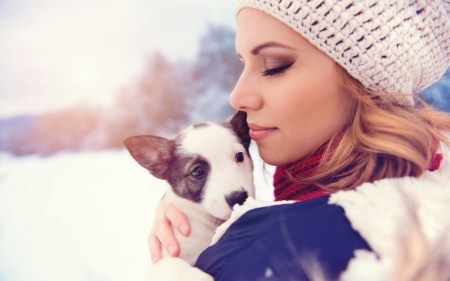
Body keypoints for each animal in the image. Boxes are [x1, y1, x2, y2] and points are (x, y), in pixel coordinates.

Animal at [125, 110, 255, 278]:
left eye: (239, 156)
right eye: (198, 171)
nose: (239, 198)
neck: (210, 222)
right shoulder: (164, 259)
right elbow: (174, 265)